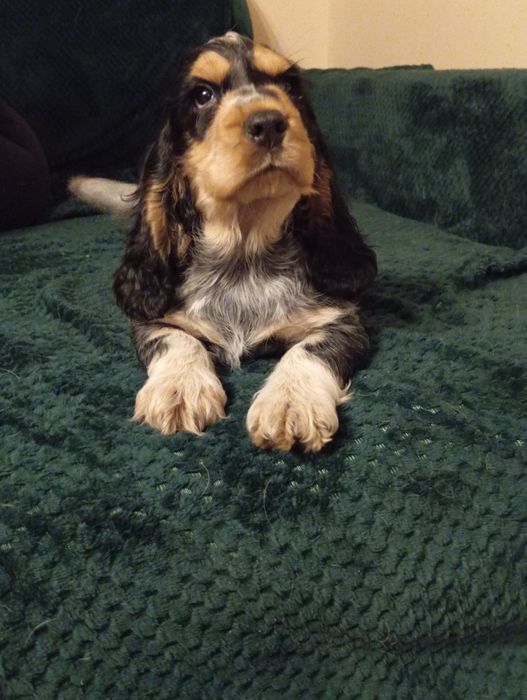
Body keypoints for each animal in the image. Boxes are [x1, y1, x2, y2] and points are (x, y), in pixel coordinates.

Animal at [70, 31, 377, 452]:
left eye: (290, 87)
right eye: (202, 95)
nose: (269, 122)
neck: (243, 247)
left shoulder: (342, 321)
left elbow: (310, 351)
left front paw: (290, 402)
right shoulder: (154, 320)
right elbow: (178, 341)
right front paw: (178, 389)